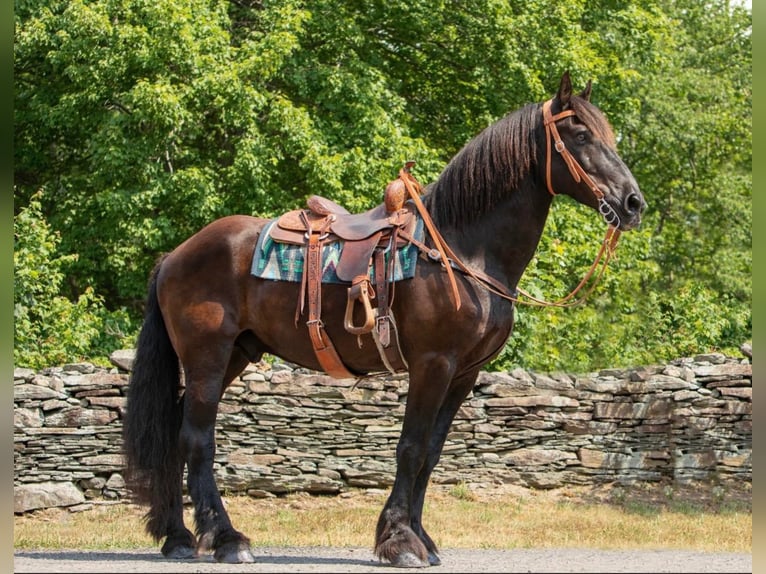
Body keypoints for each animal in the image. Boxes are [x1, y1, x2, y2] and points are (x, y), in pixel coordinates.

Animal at [124, 71, 648, 568]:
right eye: (580, 134)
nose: (632, 203)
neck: (462, 248)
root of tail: (174, 256)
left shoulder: (463, 374)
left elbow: (431, 453)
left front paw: (422, 539)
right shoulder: (432, 364)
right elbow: (410, 448)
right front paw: (400, 542)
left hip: (235, 353)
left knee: (174, 436)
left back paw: (177, 537)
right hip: (208, 357)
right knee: (196, 439)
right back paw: (226, 539)